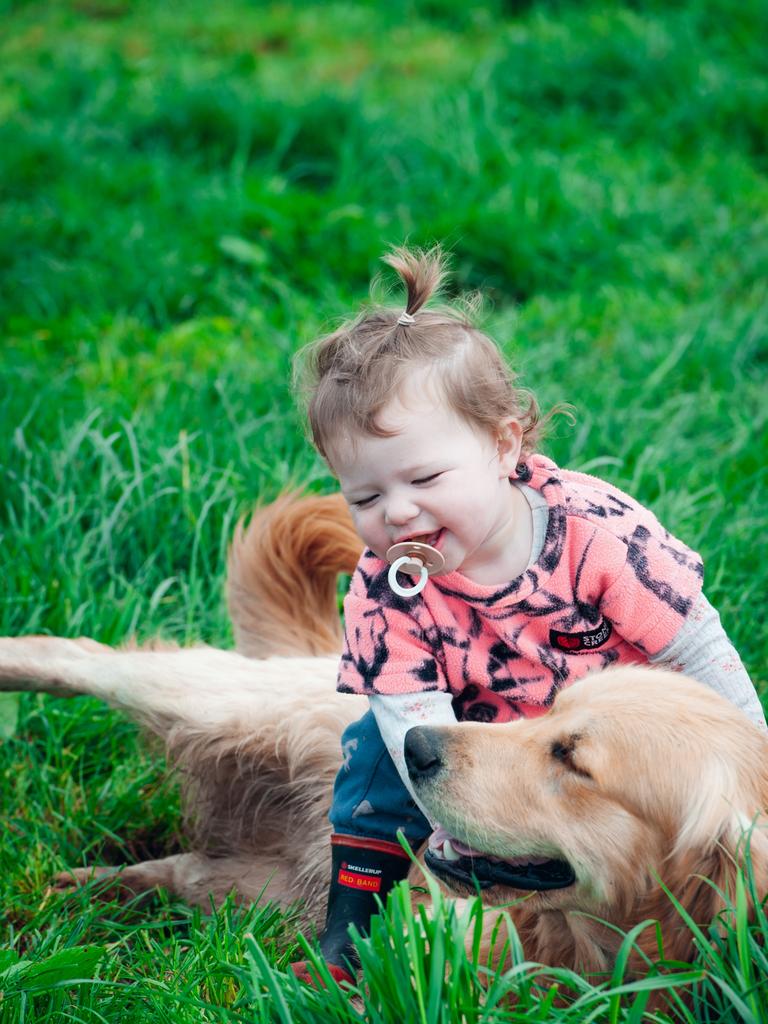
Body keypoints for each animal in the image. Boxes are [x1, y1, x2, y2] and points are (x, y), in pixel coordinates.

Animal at [1, 491, 768, 970]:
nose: (416, 746)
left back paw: (66, 894)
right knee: (76, 655)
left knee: (177, 873)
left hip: (249, 887)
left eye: (573, 761)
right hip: (214, 700)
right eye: (548, 714)